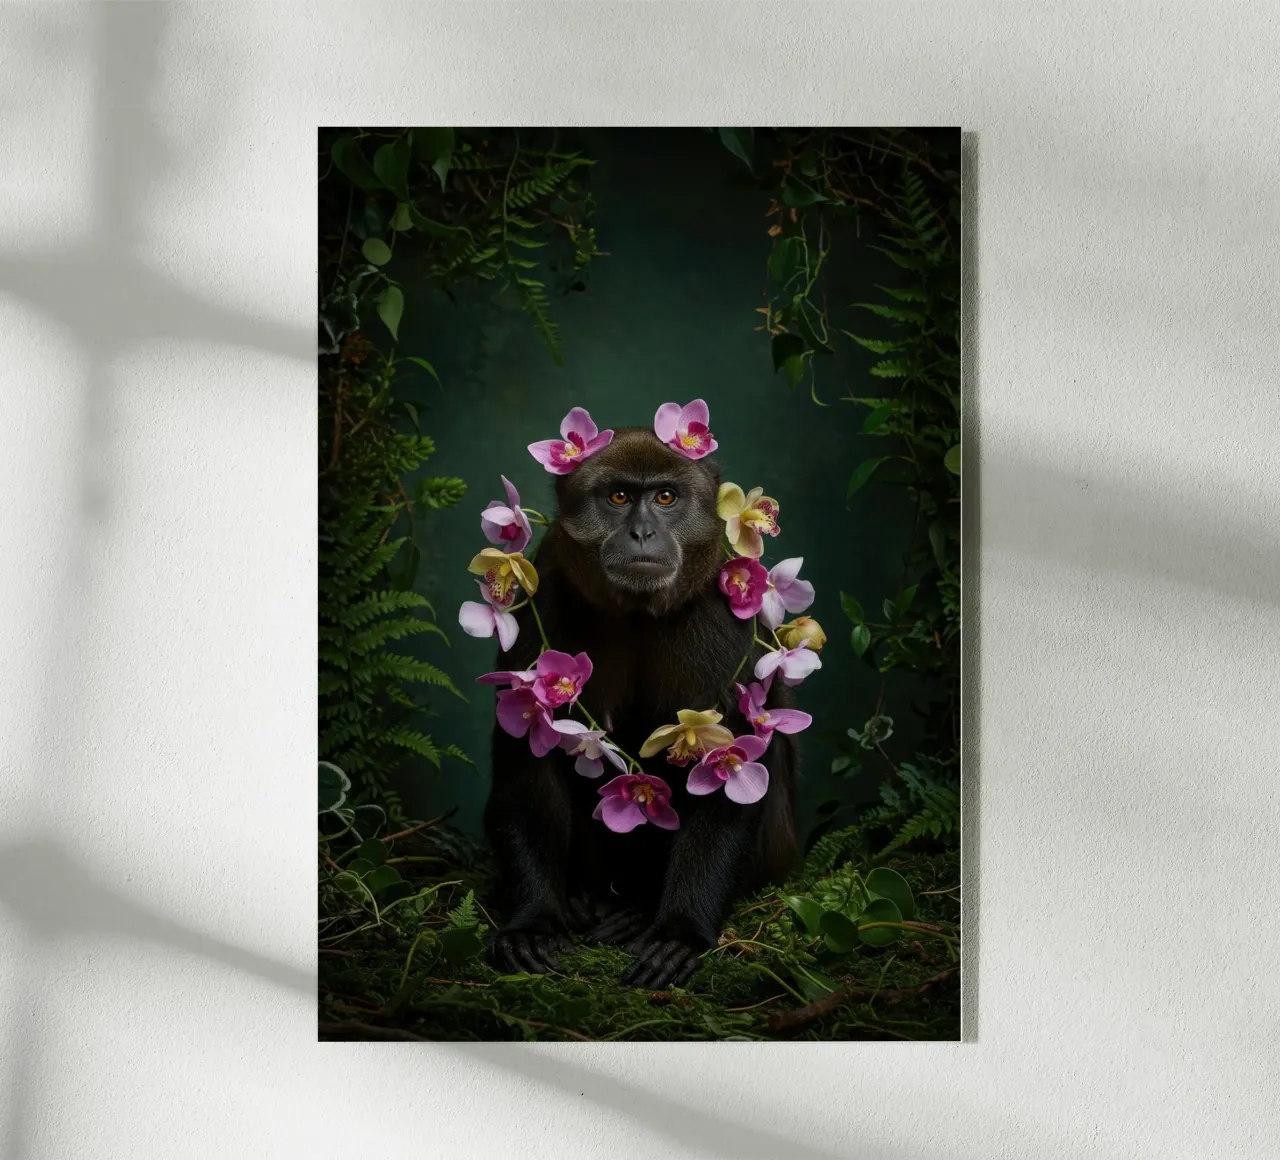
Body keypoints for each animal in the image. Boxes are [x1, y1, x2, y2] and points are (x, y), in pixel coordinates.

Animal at [482, 426, 798, 989]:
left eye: (666, 497)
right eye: (619, 497)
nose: (643, 533)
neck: (636, 614)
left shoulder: (722, 615)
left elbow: (730, 773)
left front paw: (680, 931)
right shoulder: (548, 589)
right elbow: (527, 761)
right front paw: (532, 921)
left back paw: (640, 908)